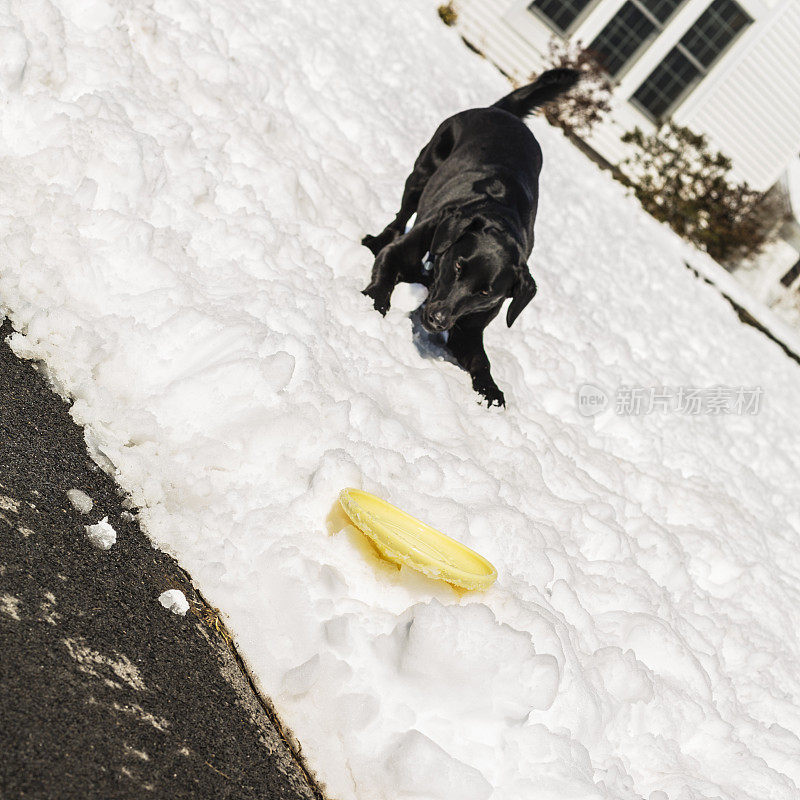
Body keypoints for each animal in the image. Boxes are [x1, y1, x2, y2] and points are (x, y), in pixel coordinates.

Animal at [364, 68, 580, 406]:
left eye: (485, 292)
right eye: (458, 266)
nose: (438, 318)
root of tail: (506, 114)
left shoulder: (469, 328)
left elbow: (482, 360)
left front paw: (491, 391)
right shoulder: (406, 249)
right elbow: (384, 279)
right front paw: (373, 306)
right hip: (423, 169)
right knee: (401, 214)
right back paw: (377, 239)